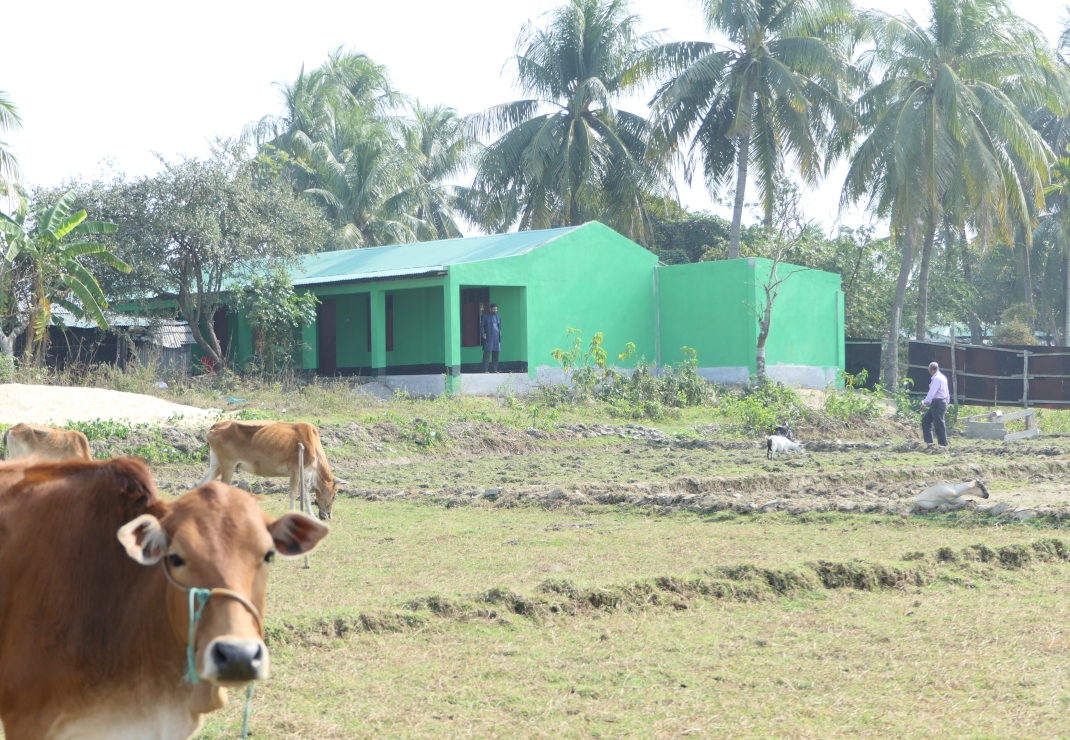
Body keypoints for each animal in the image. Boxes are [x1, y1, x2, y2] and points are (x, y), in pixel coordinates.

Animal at [196, 421, 338, 519]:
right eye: (335, 494)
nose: (327, 516)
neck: (312, 442)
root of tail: (216, 425)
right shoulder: (295, 470)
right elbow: (293, 493)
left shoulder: (304, 474)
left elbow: (306, 496)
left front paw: (312, 516)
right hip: (228, 466)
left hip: (216, 465)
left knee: (201, 484)